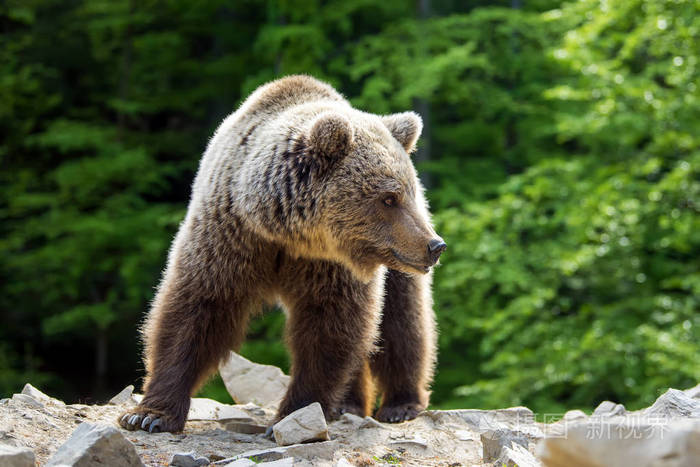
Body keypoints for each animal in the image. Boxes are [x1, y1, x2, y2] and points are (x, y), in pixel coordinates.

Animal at [117, 75, 446, 434]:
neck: (285, 233)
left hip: (397, 268)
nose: (434, 245)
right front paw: (149, 414)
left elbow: (330, 326)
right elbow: (196, 310)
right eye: (389, 198)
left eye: (407, 192)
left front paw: (295, 411)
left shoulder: (329, 266)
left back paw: (400, 403)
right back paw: (348, 403)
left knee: (403, 320)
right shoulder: (229, 236)